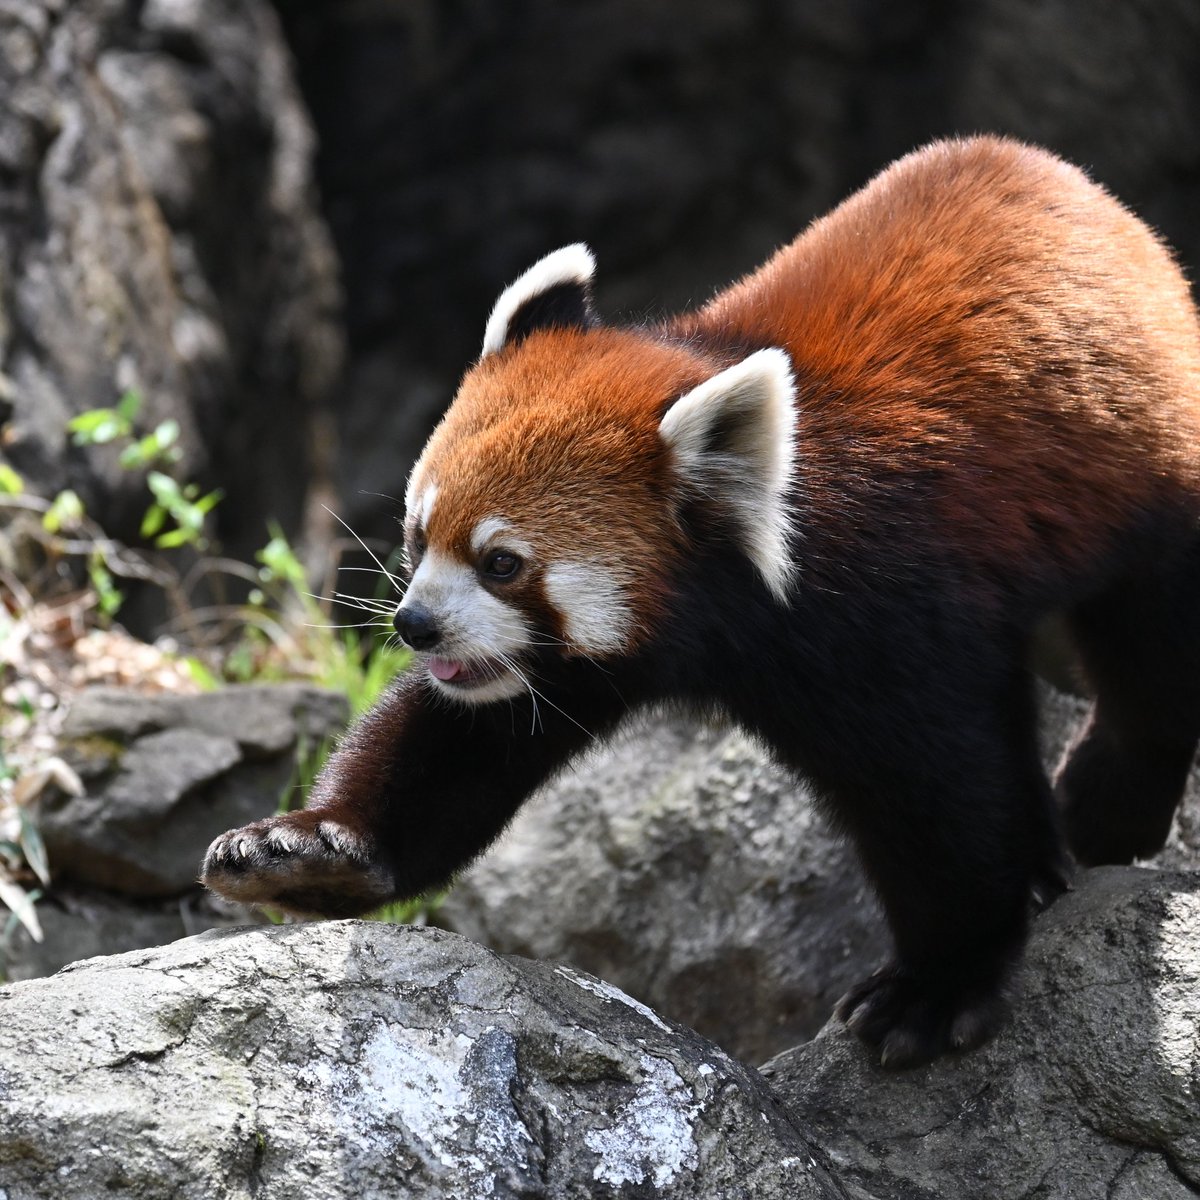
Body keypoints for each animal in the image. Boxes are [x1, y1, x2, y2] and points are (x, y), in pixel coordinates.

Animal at [204, 138, 1200, 1070]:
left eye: (503, 564)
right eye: (419, 537)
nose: (416, 626)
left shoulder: (889, 608)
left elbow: (942, 793)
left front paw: (938, 984)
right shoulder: (570, 666)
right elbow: (455, 740)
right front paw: (313, 854)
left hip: (1148, 481)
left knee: (1153, 651)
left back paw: (1106, 806)